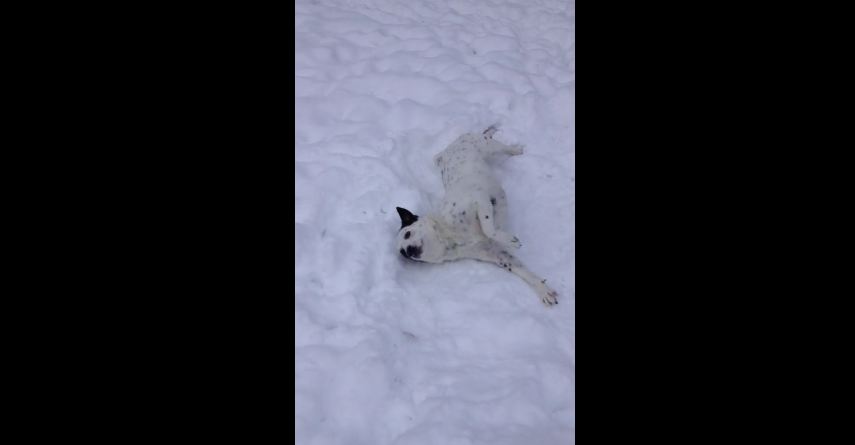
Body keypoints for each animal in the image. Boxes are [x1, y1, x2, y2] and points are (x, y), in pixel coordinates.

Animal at [396, 125, 560, 306]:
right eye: (403, 254)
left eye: (407, 234)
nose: (409, 250)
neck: (450, 236)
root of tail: (448, 148)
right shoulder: (498, 255)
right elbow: (522, 271)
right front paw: (543, 290)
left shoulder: (480, 201)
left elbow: (489, 229)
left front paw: (511, 240)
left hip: (488, 146)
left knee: (501, 146)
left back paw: (515, 148)